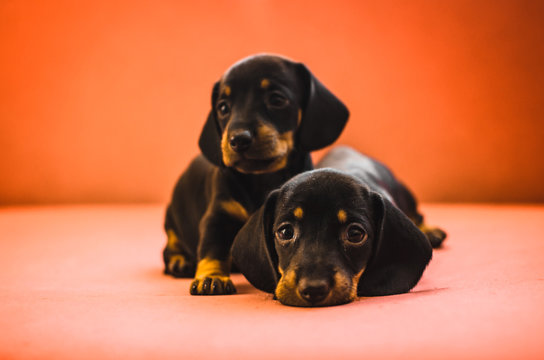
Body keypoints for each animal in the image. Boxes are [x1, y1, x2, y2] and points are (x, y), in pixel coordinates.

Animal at [163, 54, 348, 296]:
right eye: (223, 107)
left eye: (277, 100)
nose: (238, 140)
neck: (261, 178)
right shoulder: (218, 215)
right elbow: (212, 248)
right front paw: (211, 277)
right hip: (171, 222)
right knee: (169, 248)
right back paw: (179, 261)